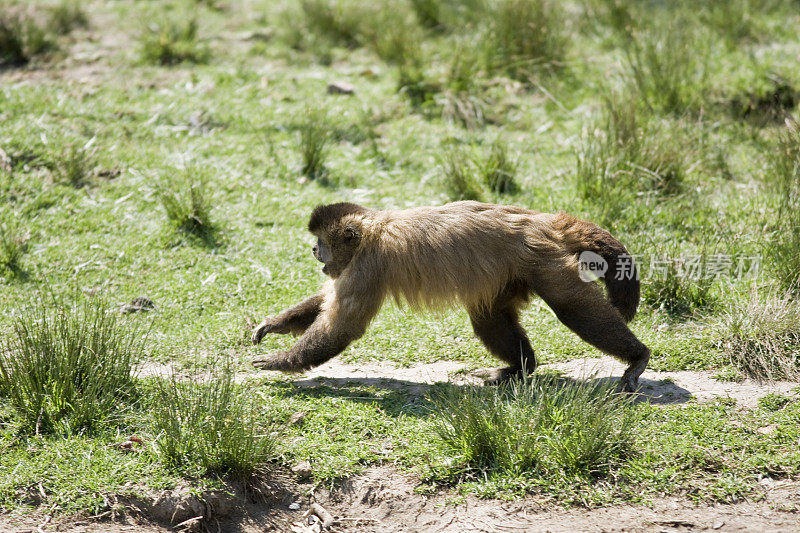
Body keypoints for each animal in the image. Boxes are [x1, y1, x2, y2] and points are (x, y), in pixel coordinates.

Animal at [250, 200, 648, 390]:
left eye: (320, 243)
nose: (315, 252)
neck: (372, 230)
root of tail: (541, 220)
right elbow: (325, 302)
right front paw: (273, 325)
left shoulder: (369, 263)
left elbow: (341, 326)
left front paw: (281, 361)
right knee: (487, 316)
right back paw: (521, 368)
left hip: (541, 257)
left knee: (571, 308)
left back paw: (637, 357)